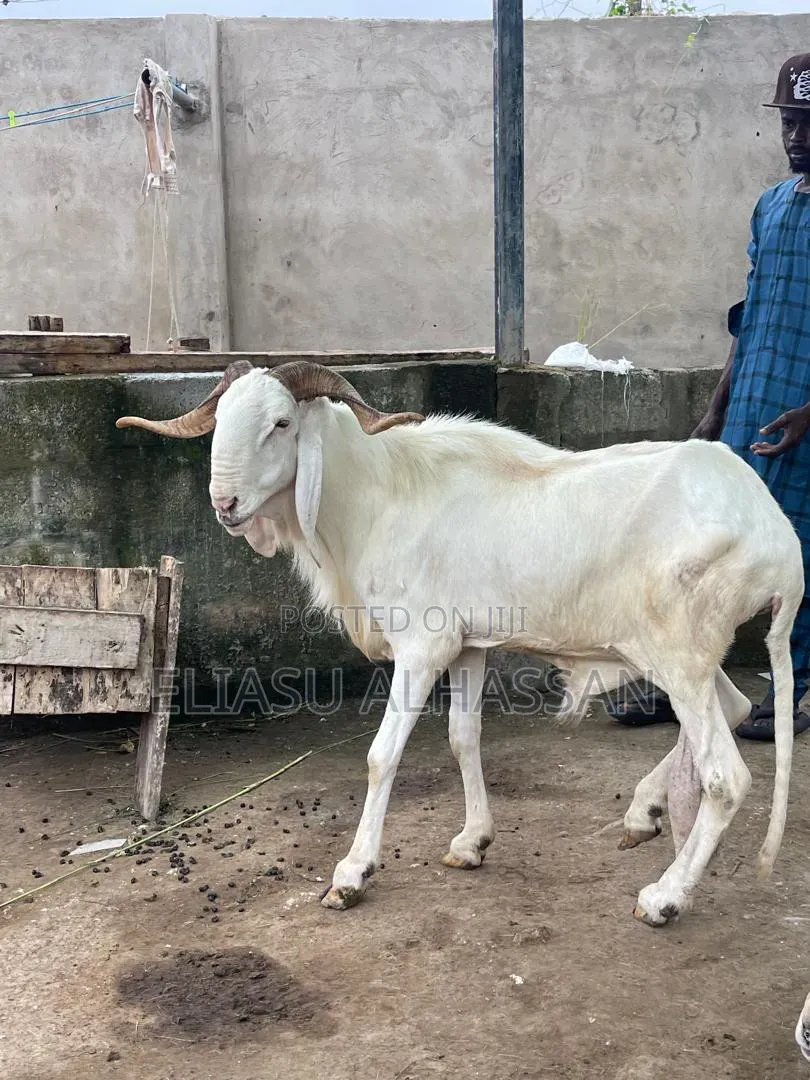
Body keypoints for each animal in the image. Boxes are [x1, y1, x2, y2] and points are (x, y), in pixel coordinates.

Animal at [116, 359, 804, 923]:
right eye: (221, 420)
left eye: (281, 423)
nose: (225, 502)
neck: (379, 498)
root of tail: (780, 543)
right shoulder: (469, 646)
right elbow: (462, 738)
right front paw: (472, 842)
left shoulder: (422, 650)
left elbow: (382, 757)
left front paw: (352, 874)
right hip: (685, 655)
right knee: (735, 707)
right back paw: (644, 813)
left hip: (677, 653)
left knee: (725, 777)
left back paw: (664, 897)